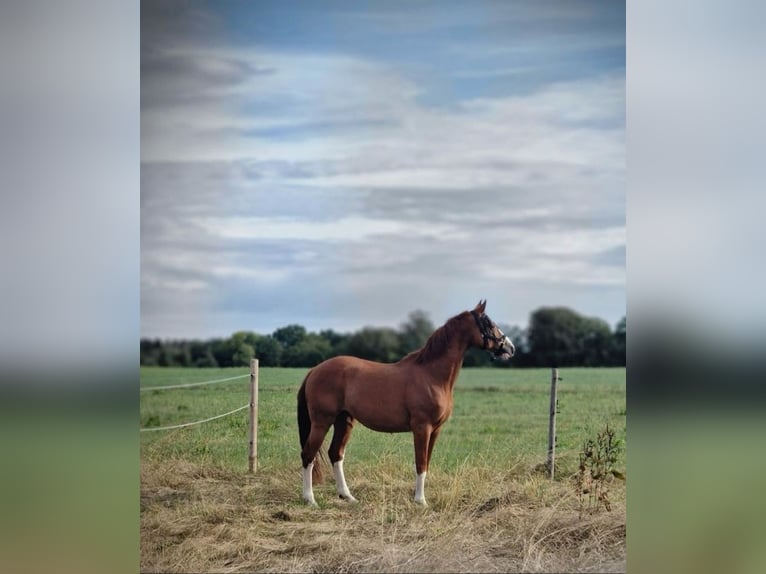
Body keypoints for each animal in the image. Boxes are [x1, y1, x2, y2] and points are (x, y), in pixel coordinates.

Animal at [296, 300, 515, 506]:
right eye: (489, 324)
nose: (510, 348)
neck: (431, 375)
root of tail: (314, 370)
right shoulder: (422, 428)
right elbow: (420, 464)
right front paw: (420, 500)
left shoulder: (435, 430)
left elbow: (426, 462)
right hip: (322, 422)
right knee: (308, 455)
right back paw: (310, 499)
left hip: (344, 421)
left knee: (336, 454)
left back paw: (347, 496)